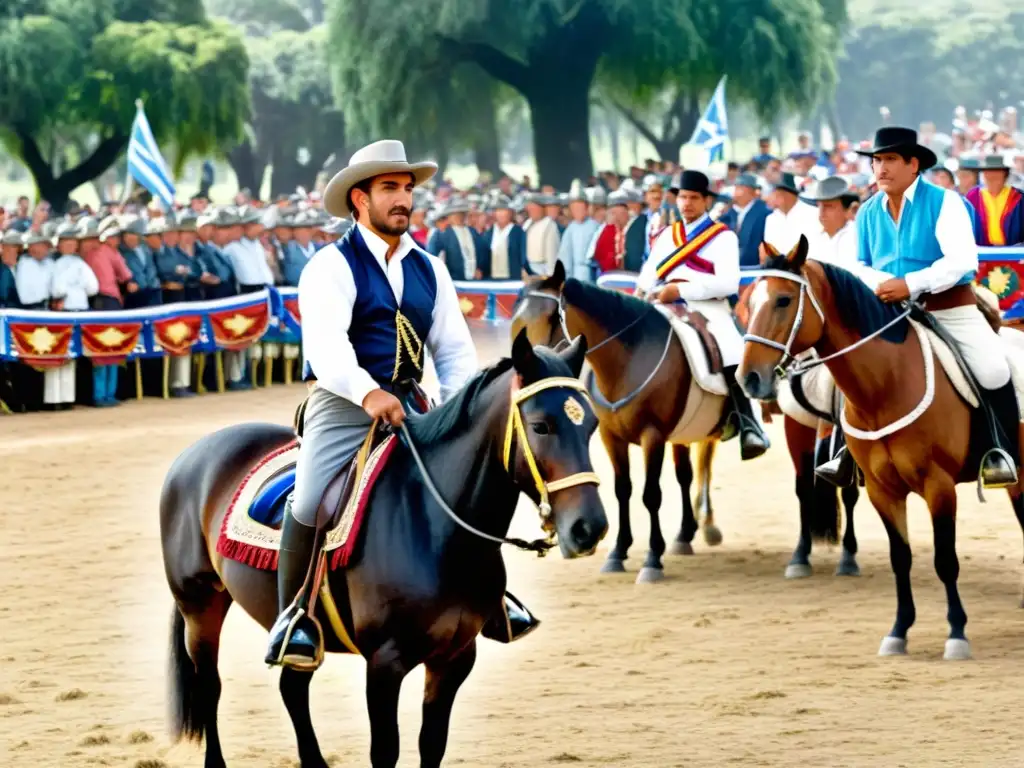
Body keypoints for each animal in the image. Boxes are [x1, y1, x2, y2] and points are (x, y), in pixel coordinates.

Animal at [160, 331, 606, 768]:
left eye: (591, 425)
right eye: (541, 426)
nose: (590, 527)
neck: (435, 527)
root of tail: (193, 455)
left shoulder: (455, 658)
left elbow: (432, 744)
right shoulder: (384, 663)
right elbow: (385, 751)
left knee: (292, 688)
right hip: (201, 606)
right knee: (209, 686)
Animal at [509, 262, 720, 585]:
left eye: (551, 316)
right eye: (515, 317)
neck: (627, 362)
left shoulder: (652, 436)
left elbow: (651, 494)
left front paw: (652, 558)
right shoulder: (611, 437)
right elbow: (623, 490)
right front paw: (618, 552)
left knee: (704, 464)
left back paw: (708, 525)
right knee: (685, 474)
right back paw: (686, 533)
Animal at [741, 240, 1024, 663]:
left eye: (783, 300)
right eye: (747, 301)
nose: (748, 378)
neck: (886, 385)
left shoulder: (939, 487)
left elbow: (945, 560)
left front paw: (957, 634)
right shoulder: (882, 489)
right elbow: (900, 558)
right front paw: (898, 632)